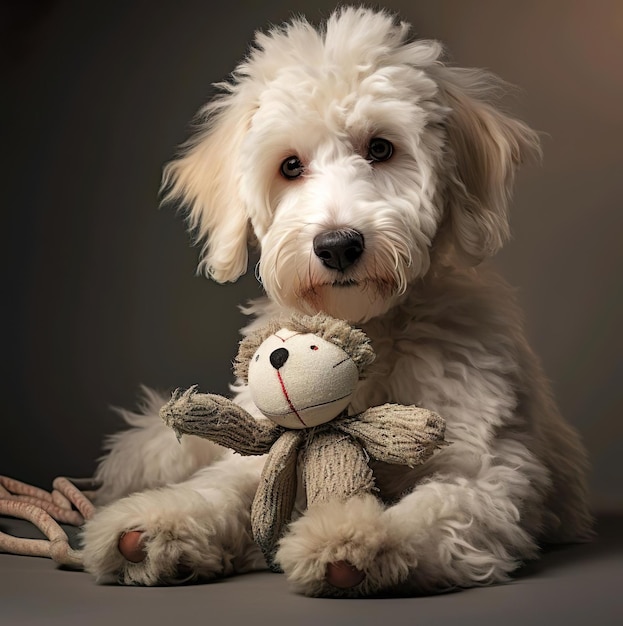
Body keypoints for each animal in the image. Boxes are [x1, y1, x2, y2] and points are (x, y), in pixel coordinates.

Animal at [80, 8, 592, 596]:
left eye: (381, 149)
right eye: (290, 166)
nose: (338, 245)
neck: (371, 330)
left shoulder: (487, 471)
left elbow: (439, 506)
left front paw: (357, 537)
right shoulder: (262, 457)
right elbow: (225, 487)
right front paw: (158, 522)